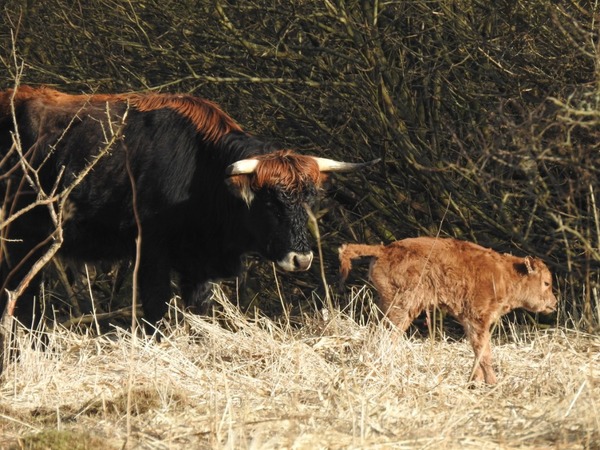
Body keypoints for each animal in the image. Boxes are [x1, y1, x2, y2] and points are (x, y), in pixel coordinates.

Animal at [1, 86, 376, 326]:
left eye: (309, 198)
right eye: (270, 200)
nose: (302, 258)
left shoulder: (199, 267)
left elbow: (199, 313)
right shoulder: (150, 254)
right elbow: (155, 313)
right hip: (21, 243)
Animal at [340, 237, 556, 384]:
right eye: (546, 283)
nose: (554, 303)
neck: (506, 275)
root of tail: (384, 249)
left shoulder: (475, 322)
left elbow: (478, 349)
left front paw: (475, 381)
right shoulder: (476, 319)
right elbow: (483, 350)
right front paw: (492, 383)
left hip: (388, 305)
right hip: (401, 308)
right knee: (386, 334)